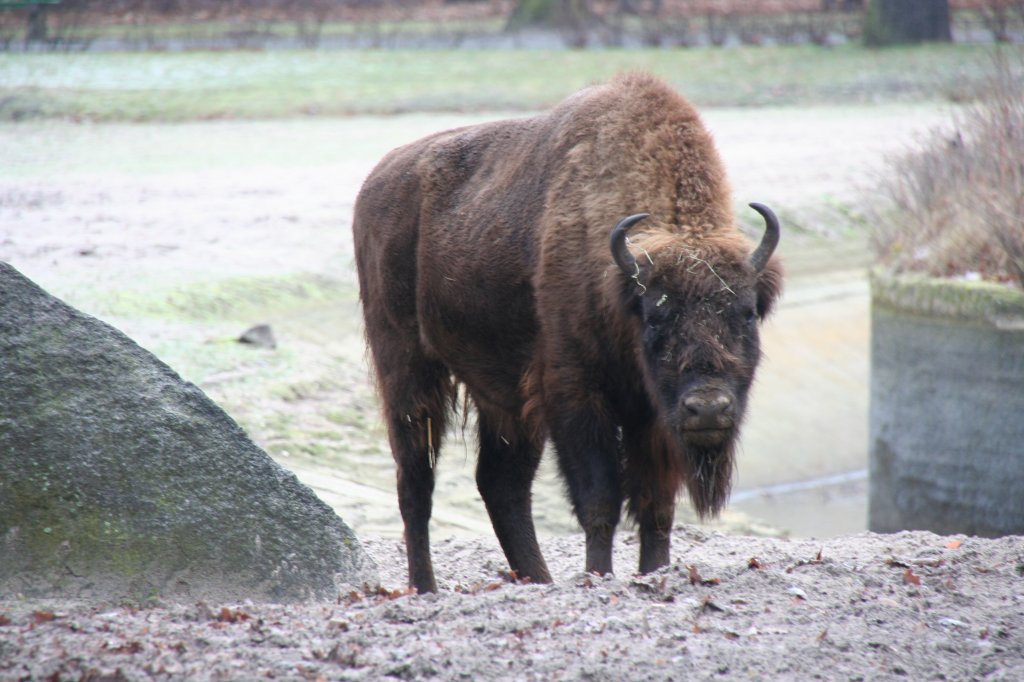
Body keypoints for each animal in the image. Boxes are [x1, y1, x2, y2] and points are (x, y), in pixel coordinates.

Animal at [352, 70, 782, 589]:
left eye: (746, 311)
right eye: (655, 313)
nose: (709, 407)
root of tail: (375, 183)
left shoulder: (654, 417)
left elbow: (655, 508)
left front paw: (654, 572)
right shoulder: (576, 396)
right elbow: (600, 501)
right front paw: (598, 575)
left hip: (505, 401)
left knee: (500, 483)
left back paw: (537, 579)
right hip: (408, 372)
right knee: (416, 480)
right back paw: (426, 587)